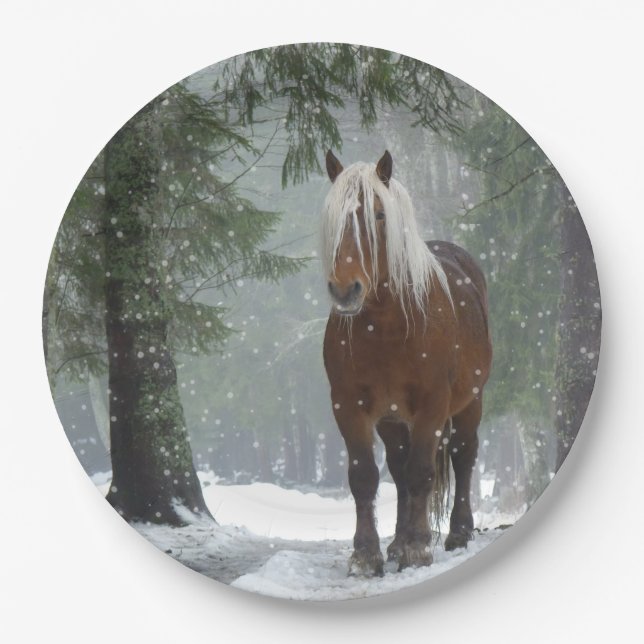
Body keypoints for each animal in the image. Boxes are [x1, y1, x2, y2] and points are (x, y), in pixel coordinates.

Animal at [321, 150, 492, 575]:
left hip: (469, 402)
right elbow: (365, 477)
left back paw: (457, 534)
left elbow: (422, 473)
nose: (345, 289)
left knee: (463, 456)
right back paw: (397, 543)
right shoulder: (349, 406)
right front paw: (367, 555)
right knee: (398, 470)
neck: (387, 325)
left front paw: (418, 549)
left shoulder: (433, 405)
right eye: (332, 217)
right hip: (392, 419)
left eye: (379, 215)